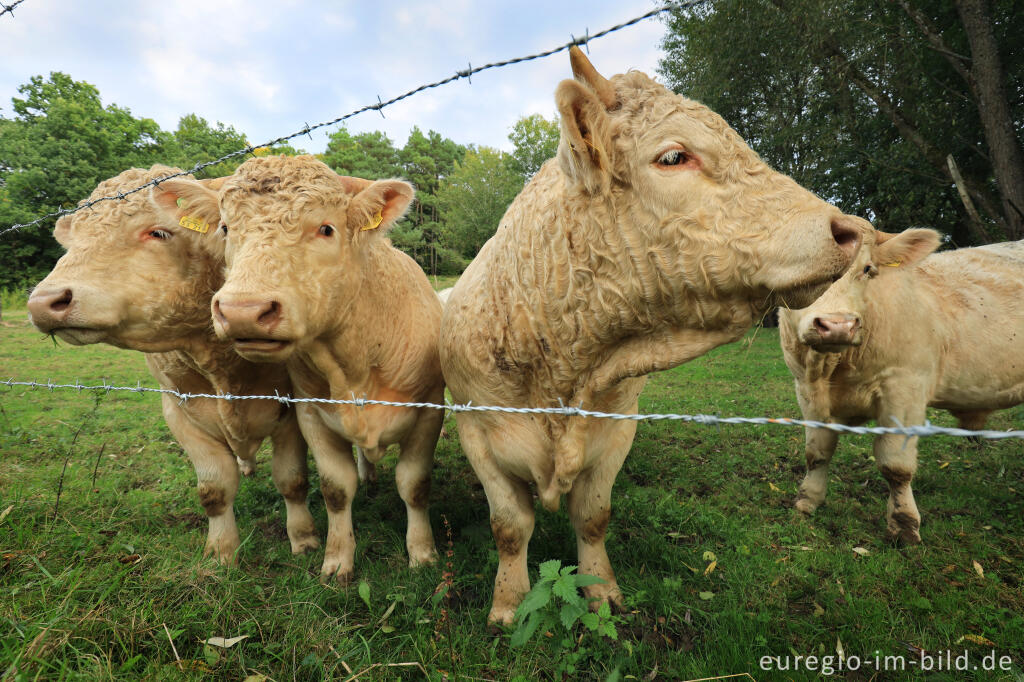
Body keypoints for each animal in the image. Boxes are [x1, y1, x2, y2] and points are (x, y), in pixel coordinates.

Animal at [29, 165, 315, 561]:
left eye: (159, 232)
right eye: (72, 243)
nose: (44, 301)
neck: (223, 370)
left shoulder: (290, 409)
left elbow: (292, 480)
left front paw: (303, 539)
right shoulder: (180, 412)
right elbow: (214, 489)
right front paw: (221, 552)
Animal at [160, 156, 444, 581]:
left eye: (326, 228)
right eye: (225, 228)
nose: (243, 310)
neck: (355, 364)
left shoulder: (429, 409)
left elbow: (415, 485)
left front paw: (422, 553)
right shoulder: (311, 413)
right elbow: (335, 489)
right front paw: (337, 560)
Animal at [438, 46, 864, 622]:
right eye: (673, 156)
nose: (849, 231)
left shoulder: (617, 428)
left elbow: (593, 516)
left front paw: (601, 592)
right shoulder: (478, 432)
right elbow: (510, 527)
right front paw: (508, 604)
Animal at [778, 228, 1019, 540]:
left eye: (868, 270)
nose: (837, 325)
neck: (832, 368)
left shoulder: (904, 389)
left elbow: (896, 466)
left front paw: (904, 524)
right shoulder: (806, 390)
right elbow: (816, 453)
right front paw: (808, 500)